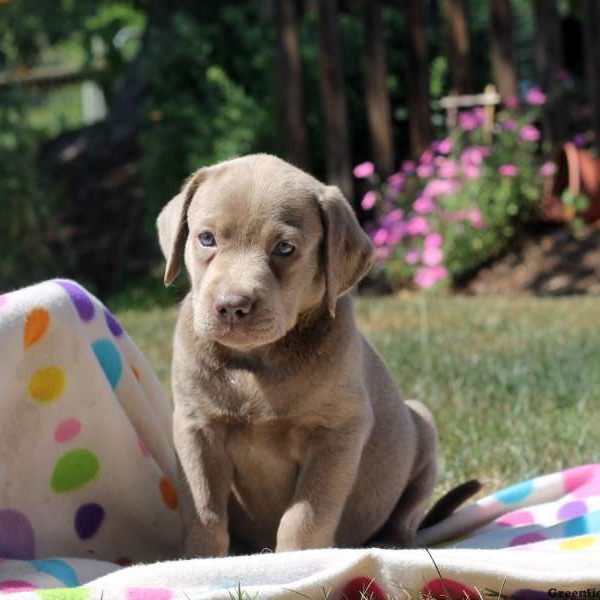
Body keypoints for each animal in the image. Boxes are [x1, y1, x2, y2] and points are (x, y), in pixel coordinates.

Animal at [157, 155, 438, 556]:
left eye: (285, 248)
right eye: (206, 238)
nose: (231, 306)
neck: (256, 361)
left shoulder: (338, 432)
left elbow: (306, 514)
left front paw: (298, 560)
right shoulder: (197, 427)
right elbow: (204, 509)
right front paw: (200, 559)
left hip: (424, 424)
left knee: (407, 516)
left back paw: (392, 545)